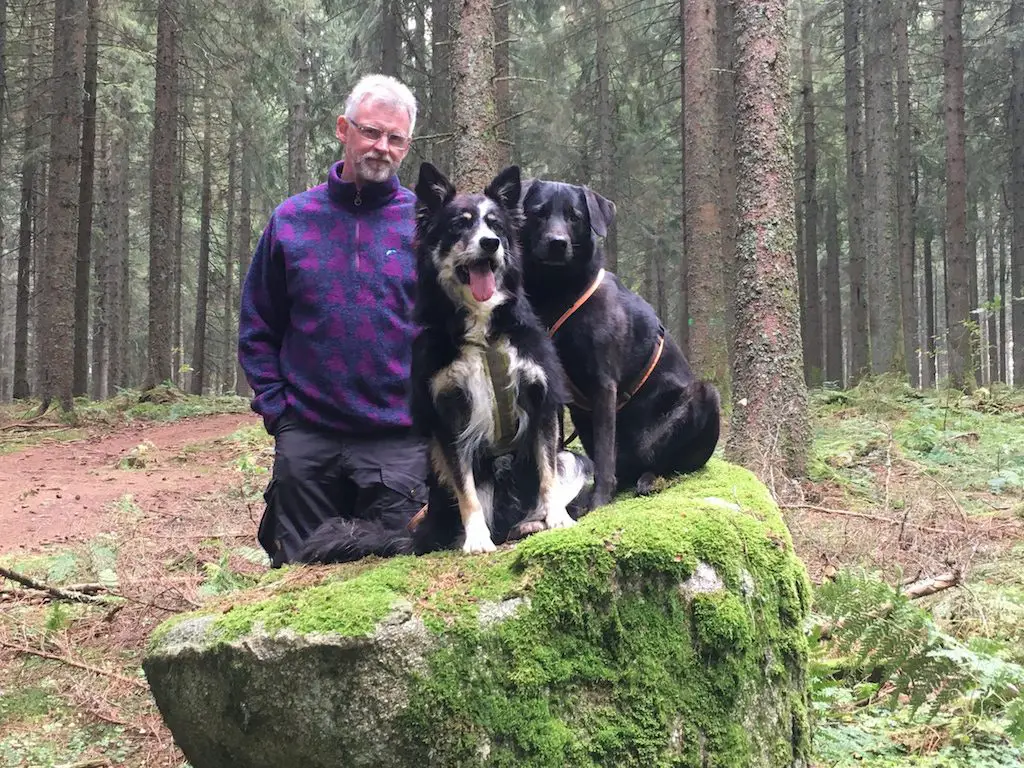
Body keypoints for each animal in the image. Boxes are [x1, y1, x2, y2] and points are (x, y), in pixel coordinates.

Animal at [299, 165, 593, 565]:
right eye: (459, 225)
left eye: (495, 225)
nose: (490, 243)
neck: (483, 334)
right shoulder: (449, 414)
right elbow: (465, 488)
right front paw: (476, 539)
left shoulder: (541, 399)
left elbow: (546, 469)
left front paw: (557, 518)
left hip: (574, 460)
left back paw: (531, 522)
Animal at [520, 179, 720, 512]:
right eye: (539, 212)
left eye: (574, 217)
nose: (558, 243)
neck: (558, 294)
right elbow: (555, 451)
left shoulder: (604, 385)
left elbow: (603, 456)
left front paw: (599, 501)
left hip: (706, 396)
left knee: (674, 464)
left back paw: (651, 479)